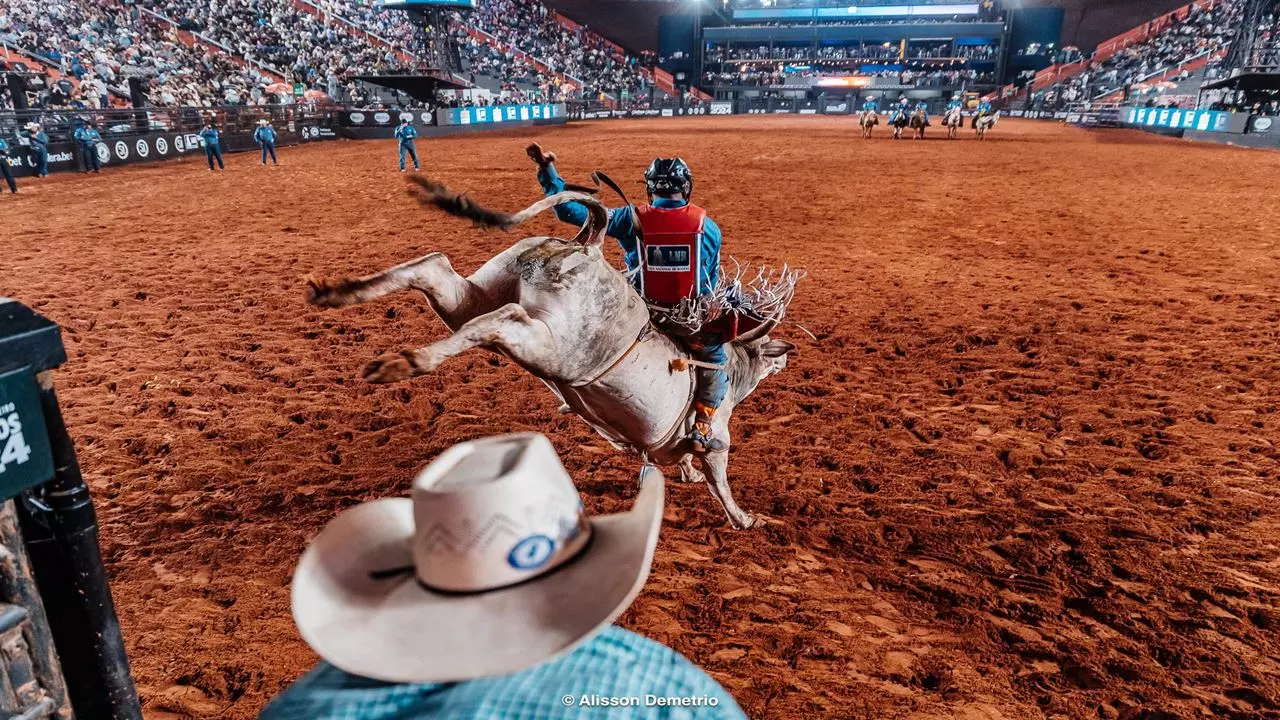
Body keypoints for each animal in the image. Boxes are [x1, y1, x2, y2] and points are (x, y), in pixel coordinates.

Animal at [305, 177, 797, 529]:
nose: (786, 356)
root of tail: (588, 244)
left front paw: (688, 474)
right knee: (500, 319)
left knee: (433, 269)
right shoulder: (720, 439)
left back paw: (339, 294)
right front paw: (744, 518)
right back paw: (403, 362)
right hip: (549, 342)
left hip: (477, 293)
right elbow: (719, 475)